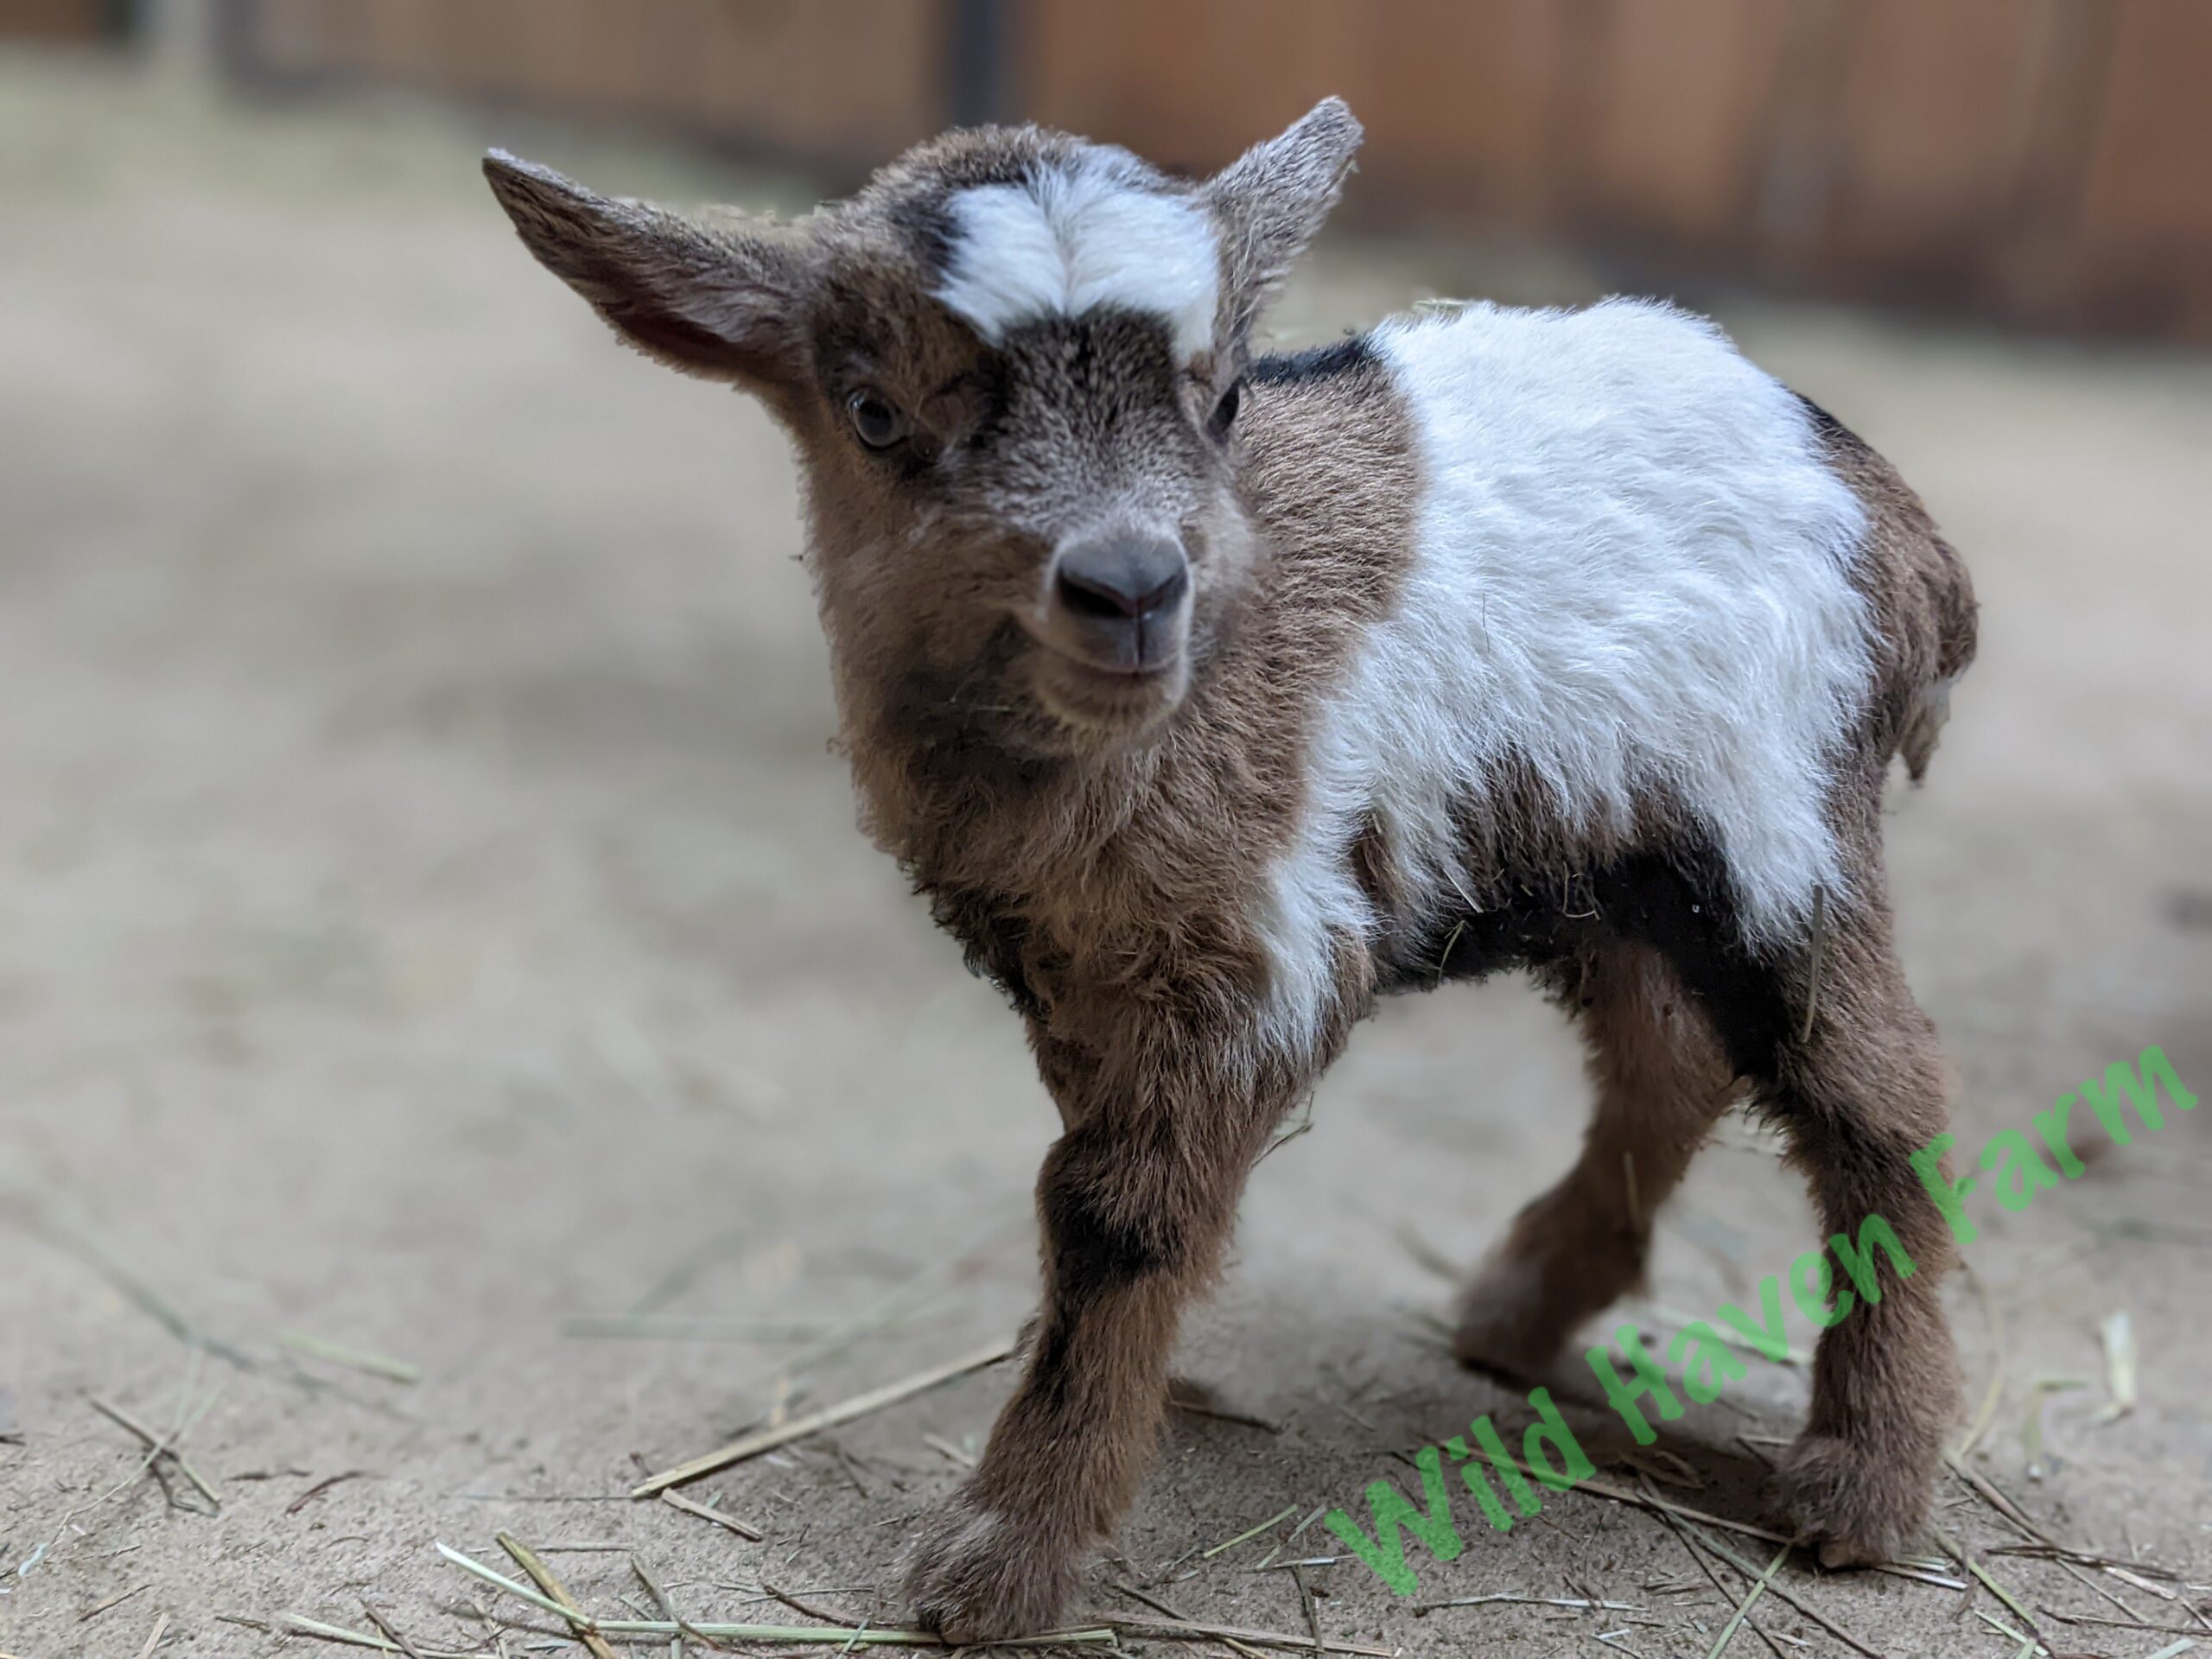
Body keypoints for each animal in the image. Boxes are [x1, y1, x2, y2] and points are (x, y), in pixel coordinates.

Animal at [486, 98, 1978, 1640]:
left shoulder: (1259, 950)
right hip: (1619, 857)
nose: (1133, 590)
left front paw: (1003, 1556)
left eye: (1221, 402)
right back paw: (1520, 1312)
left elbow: (1115, 1214)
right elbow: (1094, 1194)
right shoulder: (1078, 965)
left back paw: (1861, 1487)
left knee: (1877, 1093)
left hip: (1779, 826)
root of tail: (1901, 528)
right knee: (1669, 1060)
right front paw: (1100, 1394)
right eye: (875, 413)